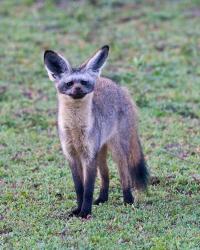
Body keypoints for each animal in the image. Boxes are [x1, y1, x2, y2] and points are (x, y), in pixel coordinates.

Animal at [43, 46, 148, 218]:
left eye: (84, 82)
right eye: (69, 83)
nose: (78, 89)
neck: (75, 129)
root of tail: (120, 88)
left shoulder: (88, 156)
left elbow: (88, 189)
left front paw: (85, 212)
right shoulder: (72, 156)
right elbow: (79, 188)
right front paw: (78, 209)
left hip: (117, 151)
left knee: (124, 175)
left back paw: (128, 200)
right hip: (100, 153)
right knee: (106, 176)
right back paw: (102, 199)